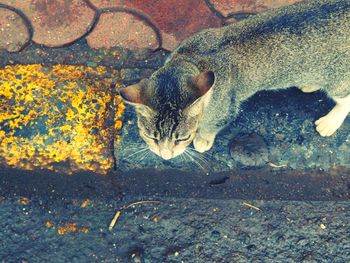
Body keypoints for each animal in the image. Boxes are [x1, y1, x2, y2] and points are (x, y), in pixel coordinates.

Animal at [118, 0, 350, 161]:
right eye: (151, 137)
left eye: (182, 138)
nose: (165, 156)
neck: (192, 59)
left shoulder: (226, 108)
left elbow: (210, 125)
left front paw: (202, 138)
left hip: (339, 79)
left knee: (345, 99)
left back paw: (330, 122)